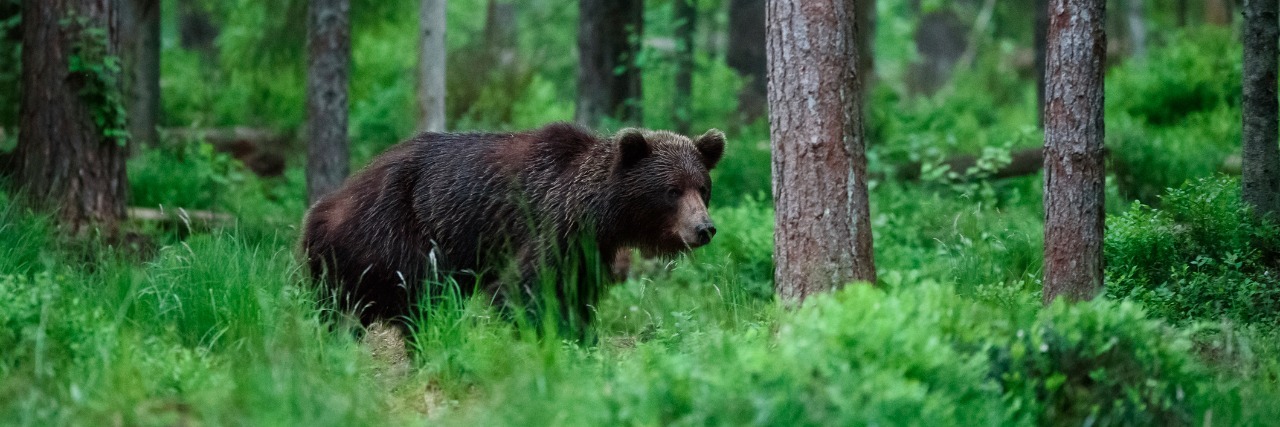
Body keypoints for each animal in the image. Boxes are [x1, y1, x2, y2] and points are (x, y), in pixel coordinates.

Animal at [300, 122, 725, 338]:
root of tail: (319, 210)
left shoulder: (586, 250)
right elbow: (523, 289)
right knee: (421, 301)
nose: (704, 228)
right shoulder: (547, 225)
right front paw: (554, 337)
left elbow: (576, 293)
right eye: (672, 190)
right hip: (397, 232)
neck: (600, 214)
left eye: (702, 187)